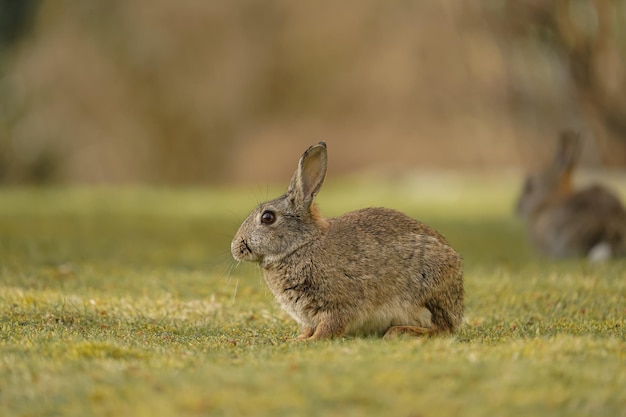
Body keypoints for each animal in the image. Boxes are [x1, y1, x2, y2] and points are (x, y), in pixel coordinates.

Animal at [230, 141, 464, 340]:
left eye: (267, 217)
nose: (235, 248)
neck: (302, 244)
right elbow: (308, 328)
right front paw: (298, 338)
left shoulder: (337, 303)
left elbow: (329, 326)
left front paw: (310, 341)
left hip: (425, 292)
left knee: (442, 329)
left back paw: (398, 331)